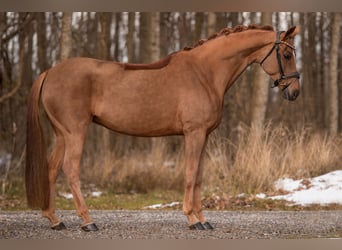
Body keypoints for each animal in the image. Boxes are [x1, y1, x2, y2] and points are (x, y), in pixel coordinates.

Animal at [26, 24, 300, 231]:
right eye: (287, 55)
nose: (295, 92)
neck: (205, 73)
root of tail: (50, 71)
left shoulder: (204, 136)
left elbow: (199, 176)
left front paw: (203, 219)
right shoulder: (193, 133)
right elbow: (190, 174)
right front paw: (191, 219)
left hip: (62, 134)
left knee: (51, 169)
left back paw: (55, 220)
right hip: (76, 132)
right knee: (70, 169)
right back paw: (87, 221)